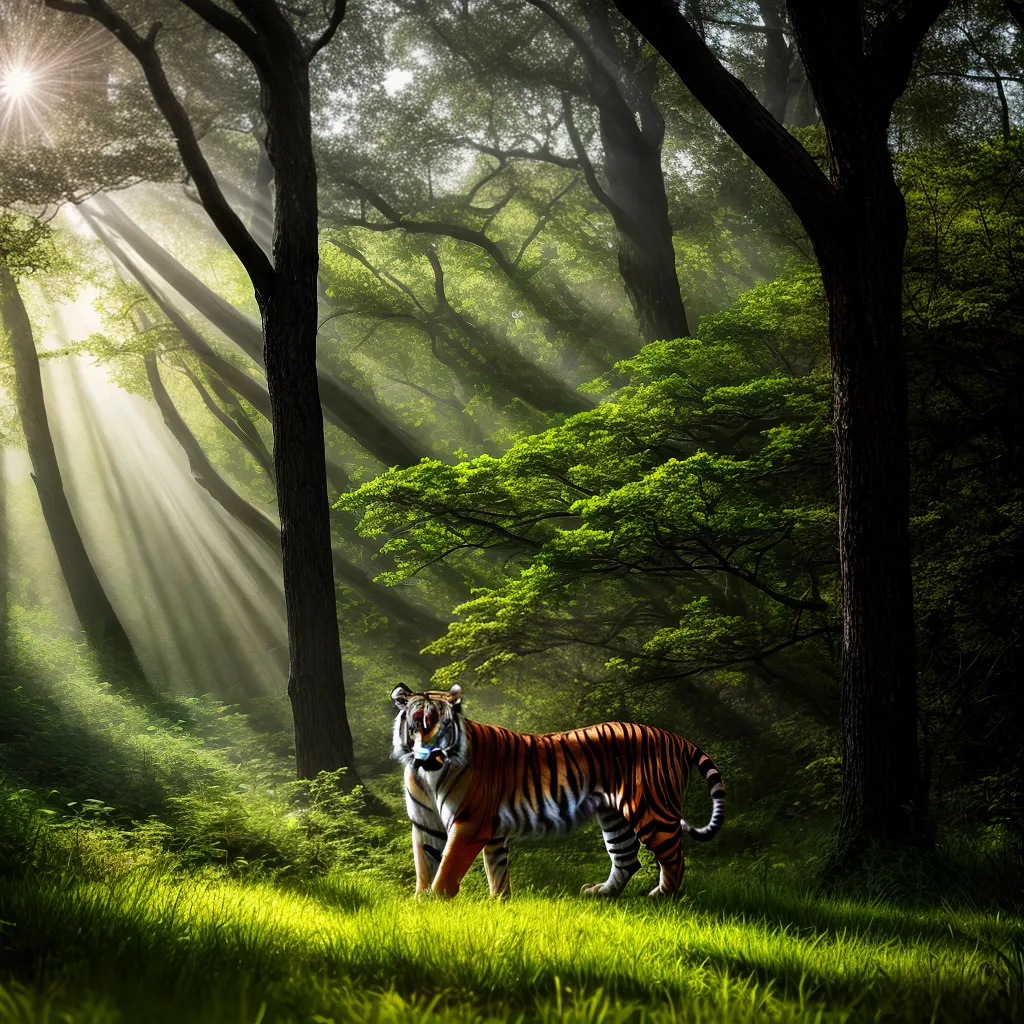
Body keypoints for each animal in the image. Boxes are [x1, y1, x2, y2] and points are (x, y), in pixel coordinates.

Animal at [391, 682, 726, 899]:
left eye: (444, 725)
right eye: (417, 723)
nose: (429, 753)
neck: (428, 774)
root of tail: (676, 737)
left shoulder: (470, 823)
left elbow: (447, 869)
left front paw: (437, 902)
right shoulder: (427, 824)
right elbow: (430, 866)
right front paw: (425, 903)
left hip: (652, 810)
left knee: (674, 857)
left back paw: (661, 897)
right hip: (614, 815)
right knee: (627, 857)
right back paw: (601, 893)